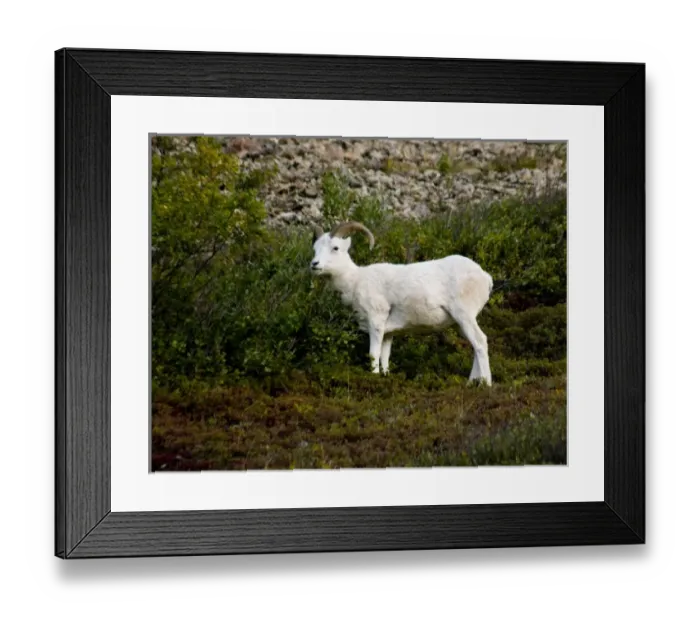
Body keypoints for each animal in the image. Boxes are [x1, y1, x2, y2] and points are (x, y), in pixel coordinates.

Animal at [310, 221, 493, 385]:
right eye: (315, 249)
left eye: (335, 248)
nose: (314, 264)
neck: (355, 281)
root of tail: (485, 277)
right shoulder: (388, 333)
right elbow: (385, 357)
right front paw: (385, 376)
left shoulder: (376, 322)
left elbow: (373, 354)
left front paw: (373, 377)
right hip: (459, 323)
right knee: (475, 346)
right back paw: (471, 383)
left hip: (464, 315)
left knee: (480, 342)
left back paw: (485, 384)